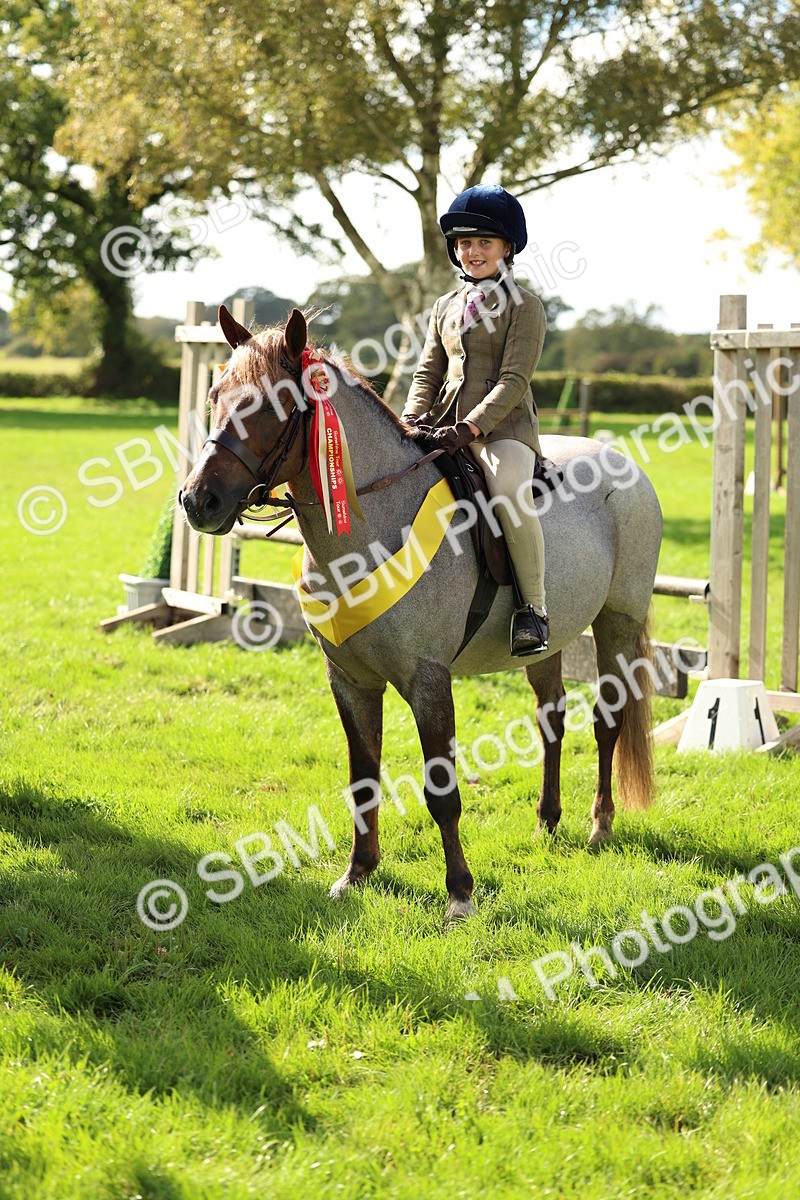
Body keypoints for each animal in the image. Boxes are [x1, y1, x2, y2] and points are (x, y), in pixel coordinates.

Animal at [180, 306, 663, 924]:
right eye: (215, 395)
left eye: (272, 405)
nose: (198, 501)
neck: (372, 525)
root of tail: (621, 462)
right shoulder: (351, 681)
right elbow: (363, 777)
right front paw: (357, 874)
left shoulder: (428, 681)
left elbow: (442, 791)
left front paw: (460, 892)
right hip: (548, 644)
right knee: (550, 717)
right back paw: (547, 820)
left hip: (617, 623)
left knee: (608, 720)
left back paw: (599, 824)